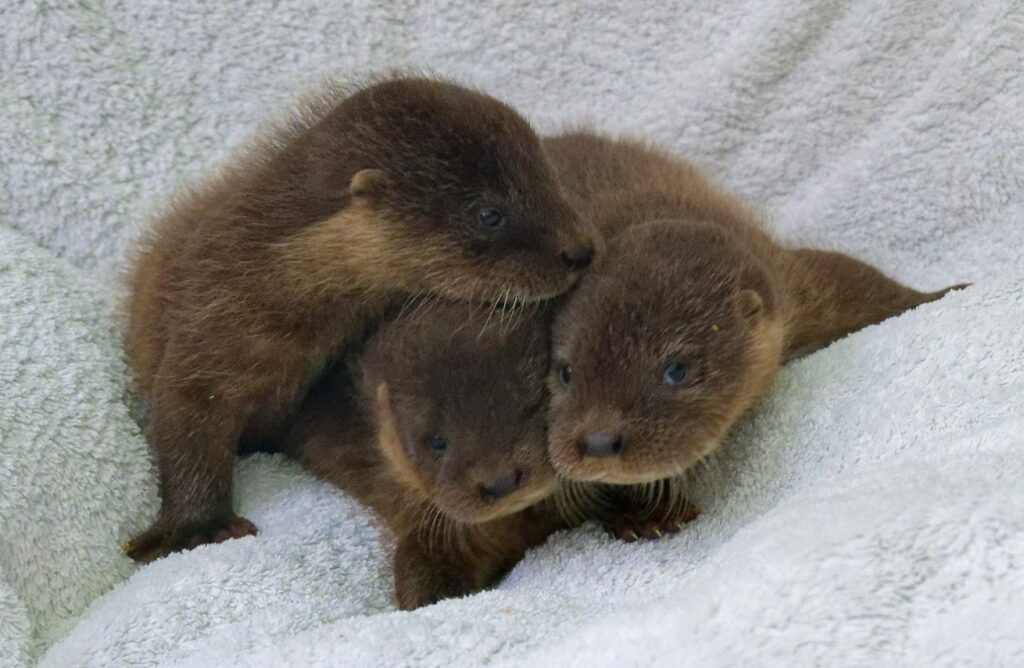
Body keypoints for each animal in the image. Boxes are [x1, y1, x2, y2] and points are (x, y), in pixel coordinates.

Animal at [124, 76, 598, 562]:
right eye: (489, 214)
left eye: (550, 180)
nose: (581, 251)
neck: (265, 272)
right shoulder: (205, 324)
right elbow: (185, 424)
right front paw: (196, 528)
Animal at [542, 131, 965, 538]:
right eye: (566, 373)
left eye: (676, 371)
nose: (598, 442)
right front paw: (641, 516)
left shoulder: (787, 277)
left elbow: (863, 282)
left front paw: (948, 291)